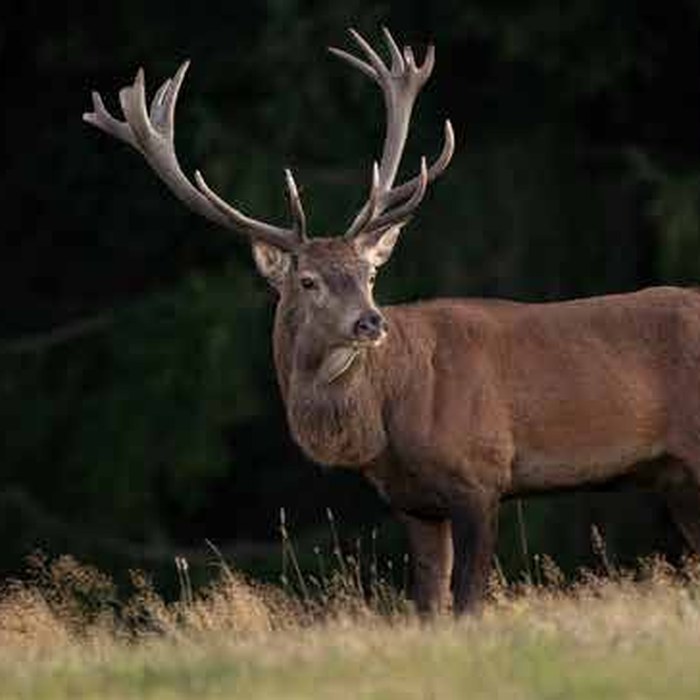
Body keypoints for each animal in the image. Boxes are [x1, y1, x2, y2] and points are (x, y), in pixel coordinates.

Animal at [84, 28, 700, 615]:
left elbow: (466, 603)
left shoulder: (480, 474)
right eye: (308, 281)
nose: (370, 324)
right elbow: (426, 604)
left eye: (369, 273)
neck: (388, 414)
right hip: (676, 477)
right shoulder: (414, 501)